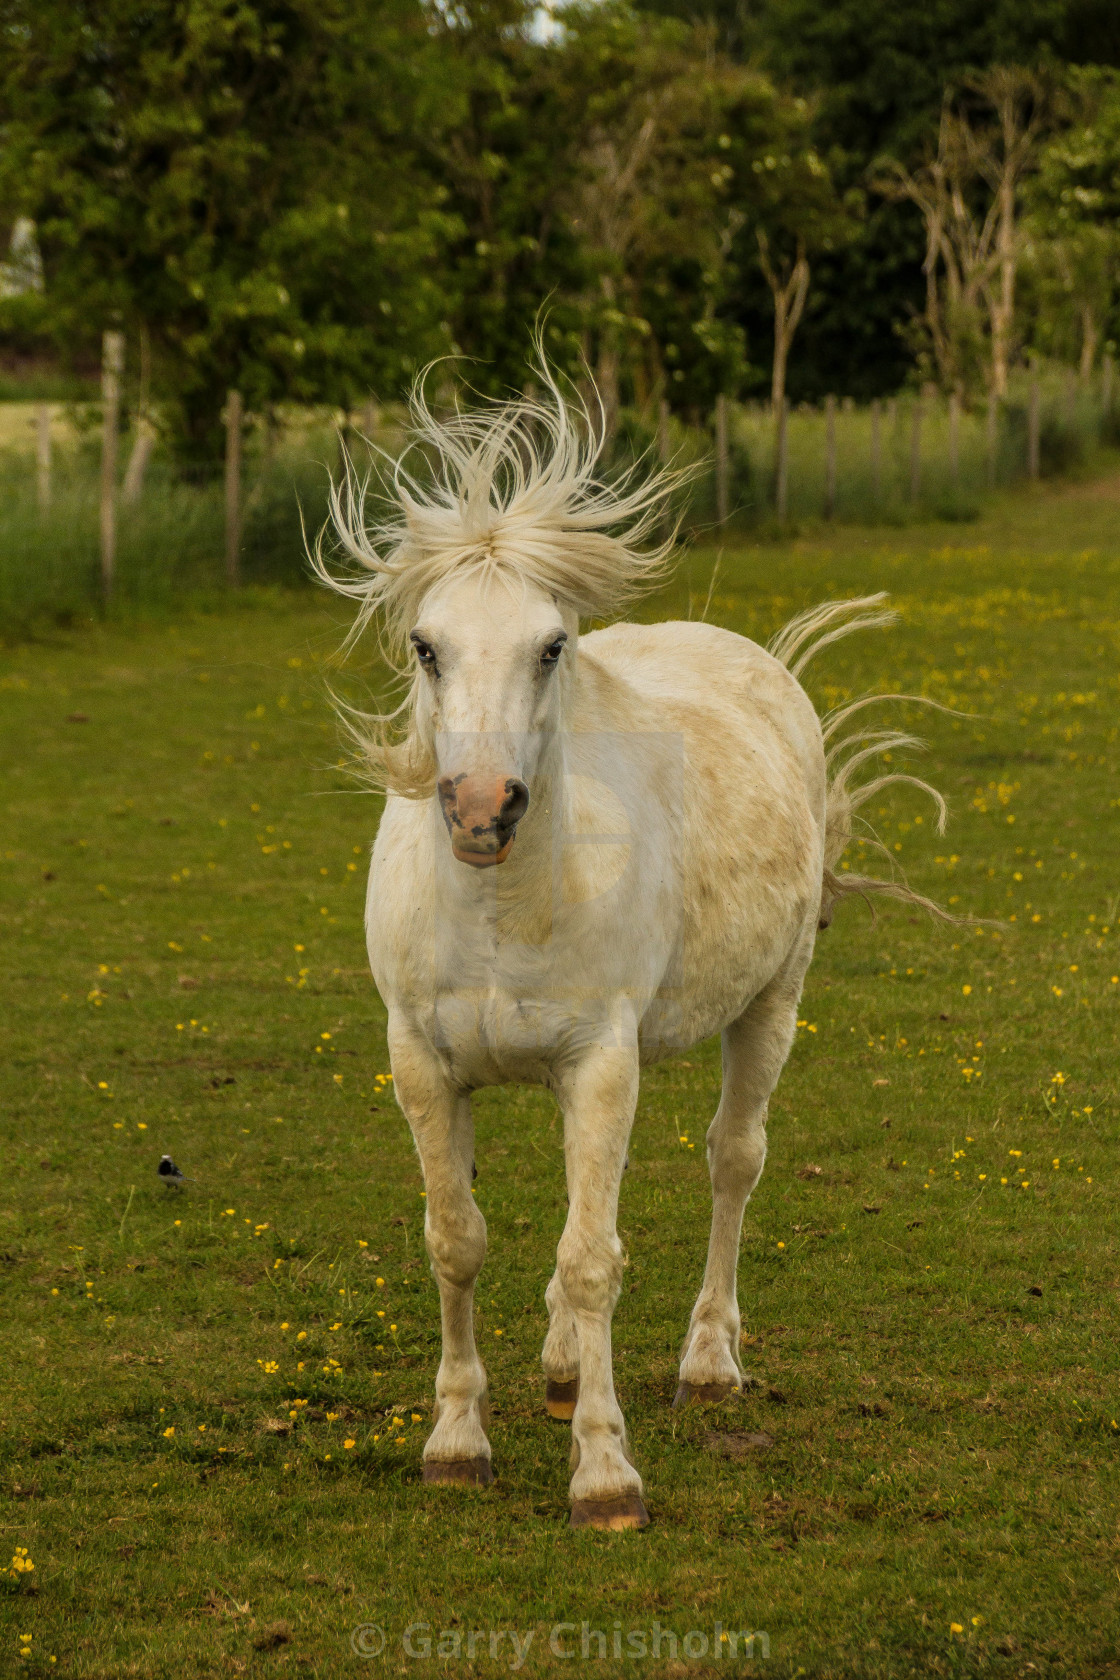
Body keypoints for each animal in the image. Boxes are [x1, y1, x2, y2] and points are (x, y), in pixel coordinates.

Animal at [315, 374, 947, 1532]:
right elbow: (459, 1239)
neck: (500, 900)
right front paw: (456, 1442)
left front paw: (605, 1473)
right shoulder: (423, 1064)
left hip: (768, 1005)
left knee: (731, 1162)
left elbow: (591, 1258)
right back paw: (566, 1367)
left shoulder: (599, 1063)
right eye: (425, 645)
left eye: (551, 646)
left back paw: (707, 1363)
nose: (482, 808)